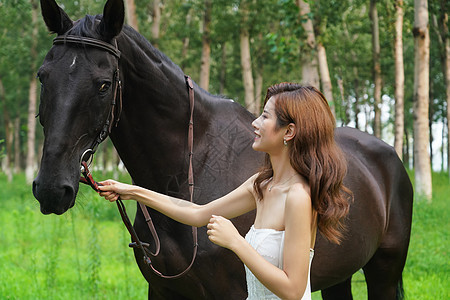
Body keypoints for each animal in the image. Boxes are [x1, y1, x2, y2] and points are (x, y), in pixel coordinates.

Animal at [33, 0, 414, 298]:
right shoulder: (162, 290)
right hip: (337, 276)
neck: (189, 168)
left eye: (103, 84)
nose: (51, 188)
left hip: (384, 271)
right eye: (43, 76)